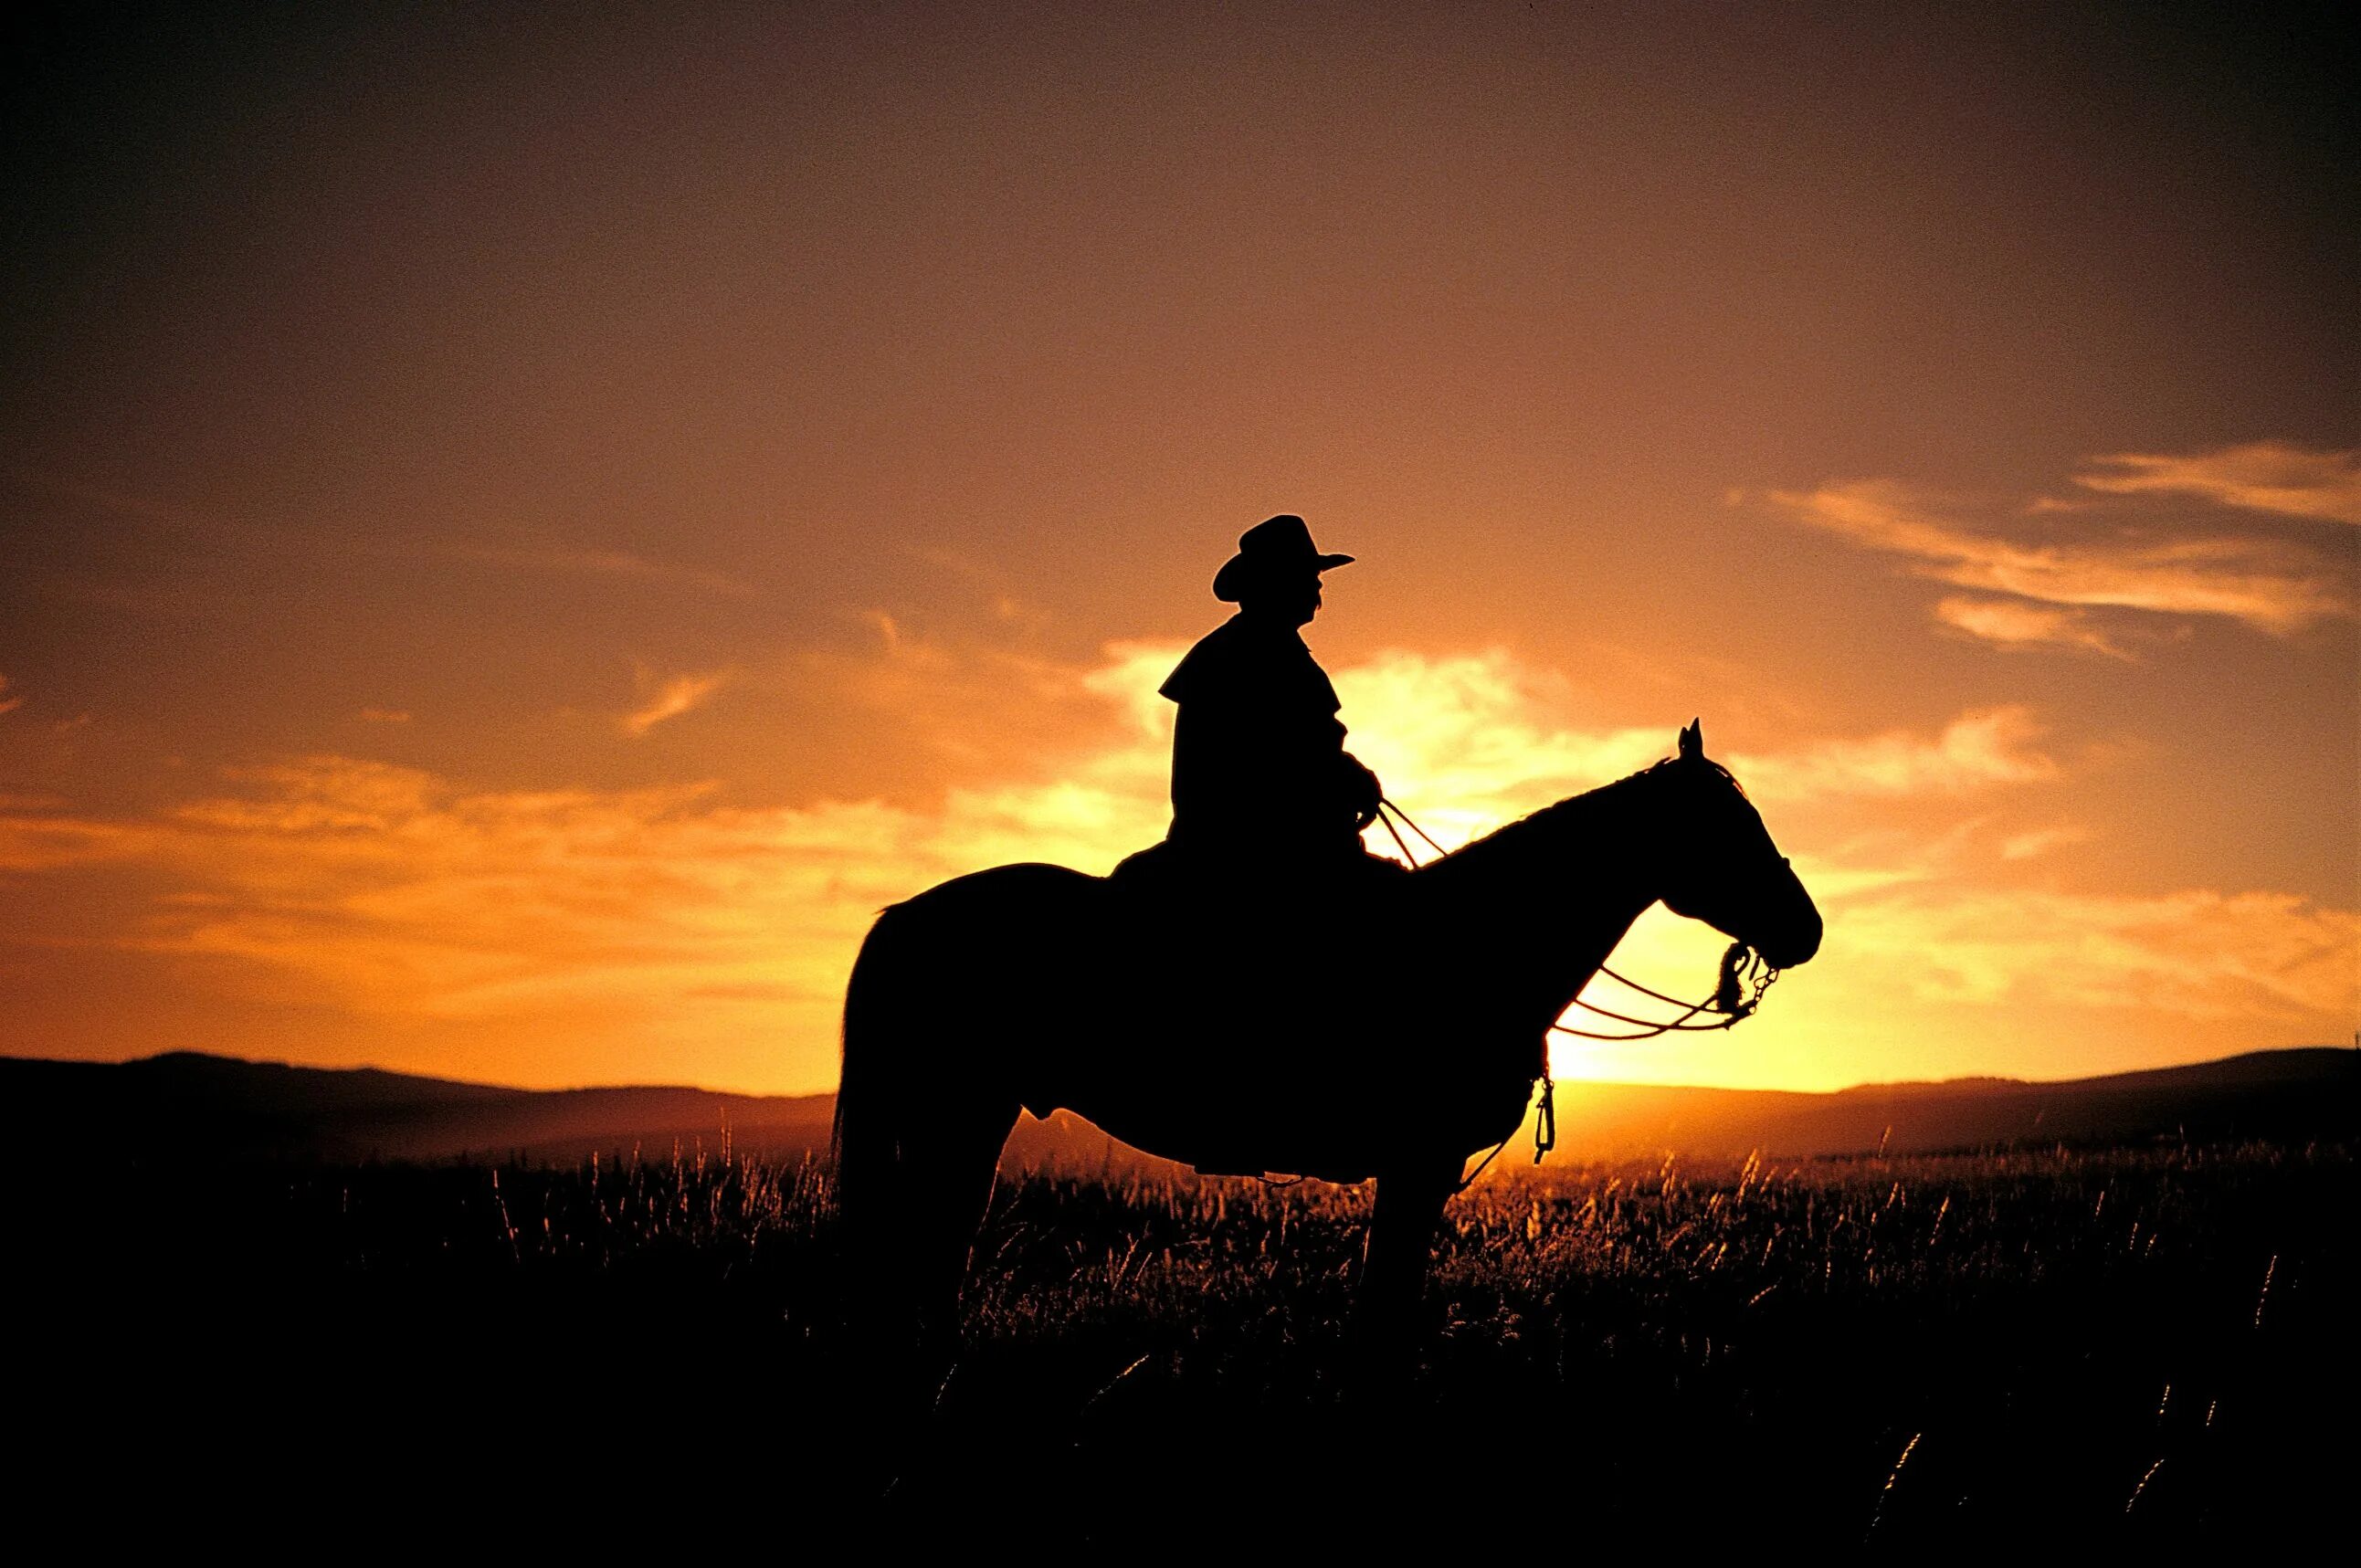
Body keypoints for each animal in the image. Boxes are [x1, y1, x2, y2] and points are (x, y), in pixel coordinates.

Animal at [830, 727, 1822, 1369]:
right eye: (1726, 825)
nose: (1805, 928)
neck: (1475, 942)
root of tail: (904, 917)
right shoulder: (1416, 1161)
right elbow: (1383, 1314)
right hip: (959, 1113)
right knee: (926, 1247)